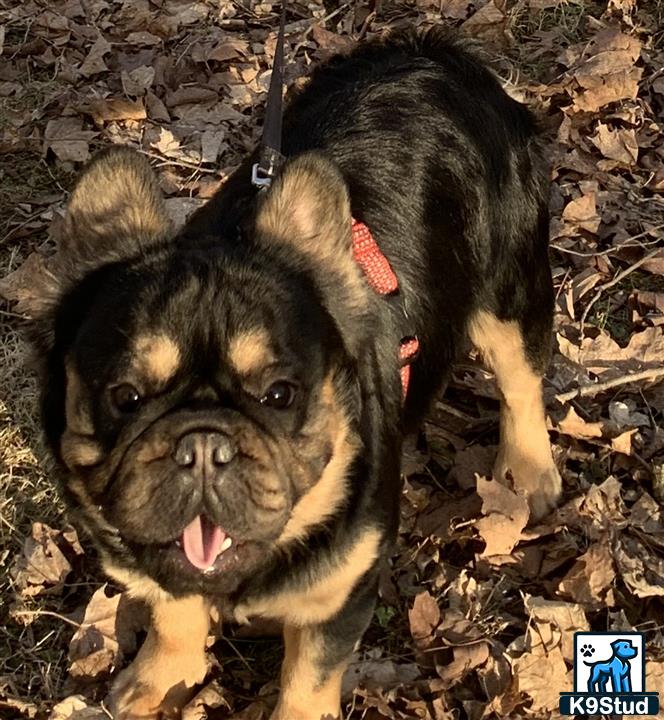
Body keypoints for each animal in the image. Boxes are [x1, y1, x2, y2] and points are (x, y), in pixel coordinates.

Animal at [29, 26, 560, 720]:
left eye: (280, 394)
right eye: (126, 396)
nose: (203, 443)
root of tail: (439, 56)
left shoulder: (340, 592)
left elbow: (307, 679)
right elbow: (174, 613)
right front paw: (159, 680)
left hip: (508, 292)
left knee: (521, 379)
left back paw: (528, 473)